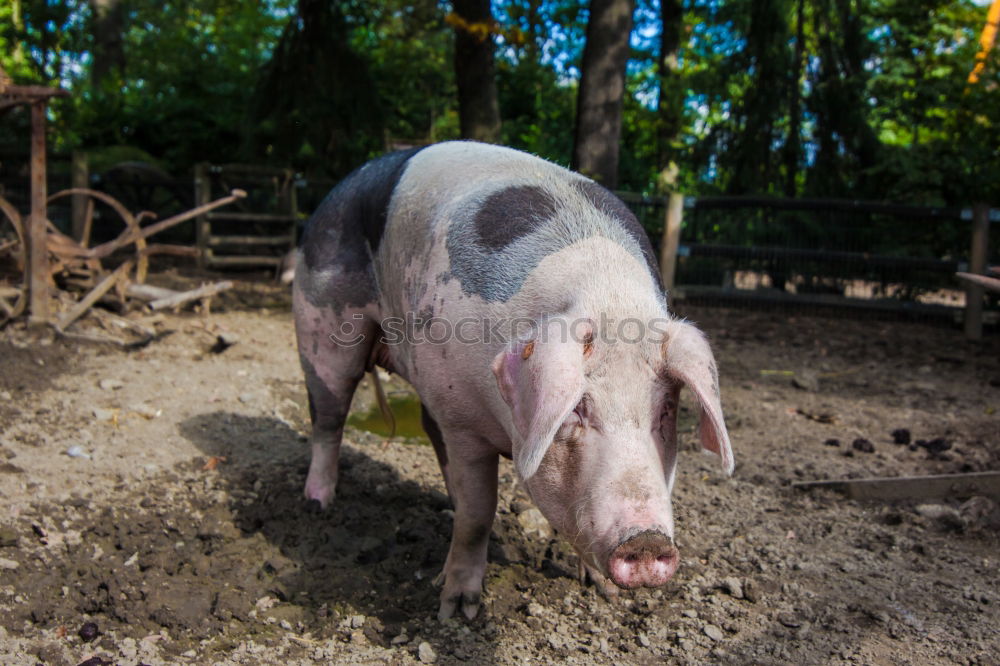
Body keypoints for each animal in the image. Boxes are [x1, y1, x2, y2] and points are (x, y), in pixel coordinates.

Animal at [292, 140, 732, 616]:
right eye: (576, 409)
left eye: (666, 410)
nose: (648, 543)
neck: (607, 297)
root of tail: (339, 190)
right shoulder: (461, 420)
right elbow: (478, 513)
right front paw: (458, 609)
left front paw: (604, 591)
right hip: (321, 326)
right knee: (328, 418)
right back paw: (318, 504)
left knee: (420, 426)